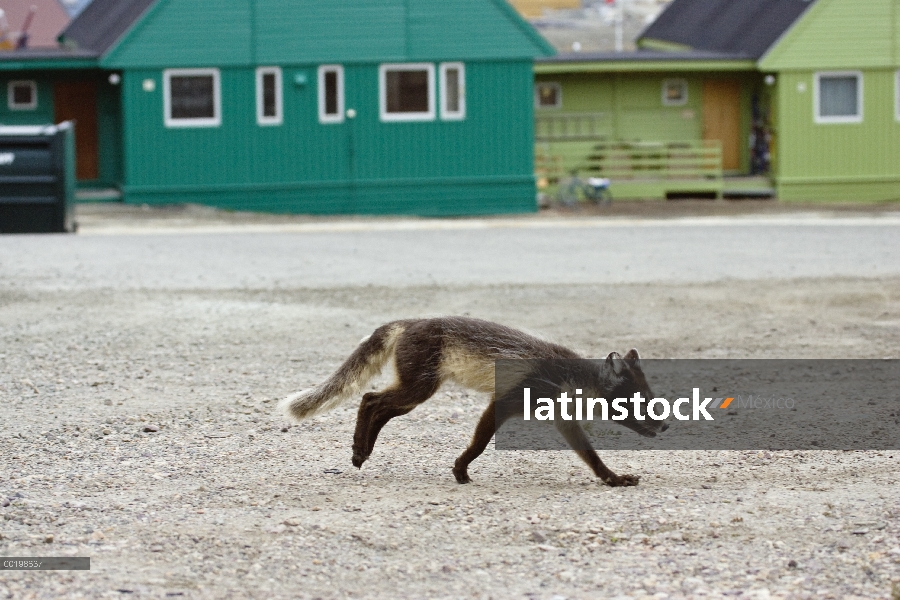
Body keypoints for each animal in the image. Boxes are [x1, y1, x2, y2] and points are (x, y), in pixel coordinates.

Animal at [278, 316, 664, 486]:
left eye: (650, 399)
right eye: (638, 401)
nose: (665, 424)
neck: (569, 377)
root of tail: (410, 320)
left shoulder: (560, 417)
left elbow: (591, 456)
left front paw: (612, 478)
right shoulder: (504, 403)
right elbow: (478, 444)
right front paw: (460, 470)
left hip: (415, 395)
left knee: (377, 405)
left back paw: (363, 451)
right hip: (418, 390)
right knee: (371, 399)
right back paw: (360, 450)